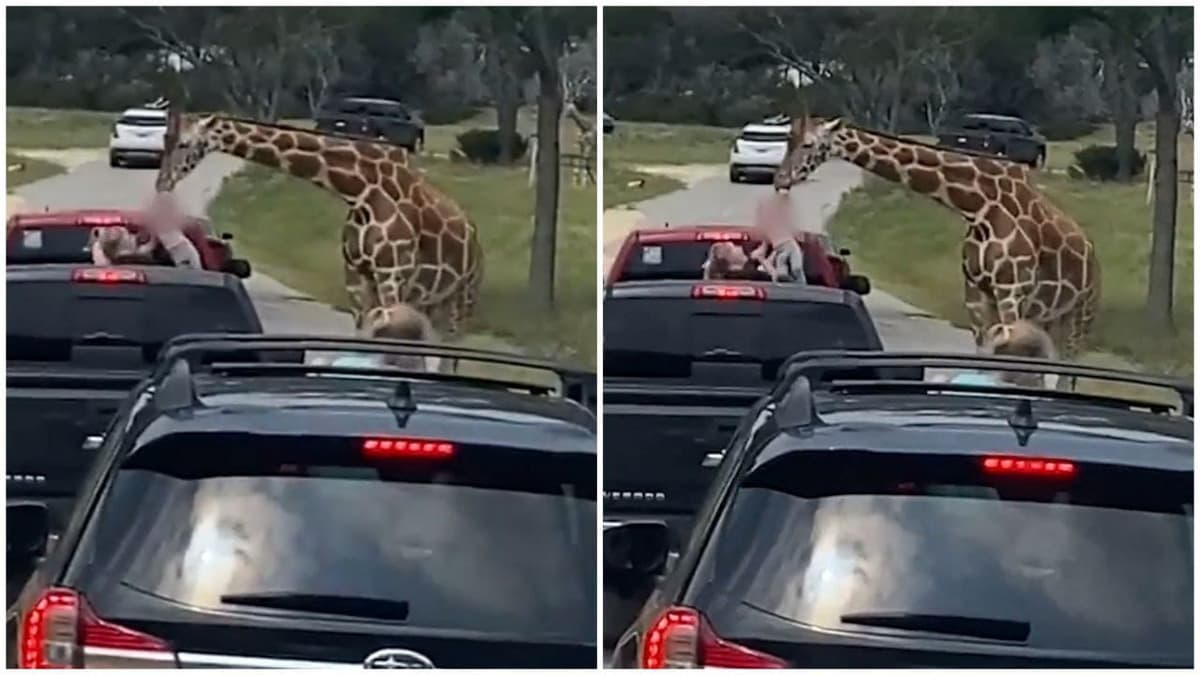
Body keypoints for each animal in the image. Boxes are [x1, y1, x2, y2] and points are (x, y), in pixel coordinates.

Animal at [155, 105, 483, 341]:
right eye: (165, 140)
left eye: (184, 144)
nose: (162, 184)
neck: (361, 192)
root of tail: (474, 237)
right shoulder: (356, 275)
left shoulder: (392, 275)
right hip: (432, 301)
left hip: (463, 297)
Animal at [774, 116, 1100, 378]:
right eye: (788, 140)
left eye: (808, 144)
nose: (780, 179)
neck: (979, 207)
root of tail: (1092, 254)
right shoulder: (976, 294)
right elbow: (983, 357)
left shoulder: (1011, 291)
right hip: (1051, 317)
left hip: (1081, 314)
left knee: (1069, 368)